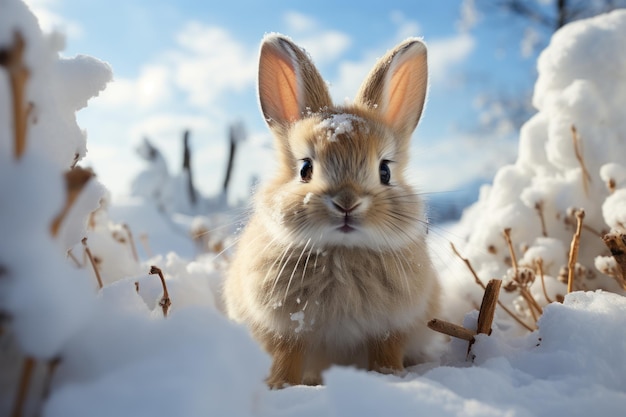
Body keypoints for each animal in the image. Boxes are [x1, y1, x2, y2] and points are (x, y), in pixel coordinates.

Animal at [222, 34, 442, 388]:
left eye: (385, 171)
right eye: (305, 169)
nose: (346, 203)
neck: (341, 251)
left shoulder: (390, 329)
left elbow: (386, 354)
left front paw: (390, 378)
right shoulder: (285, 332)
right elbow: (286, 358)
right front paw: (281, 387)